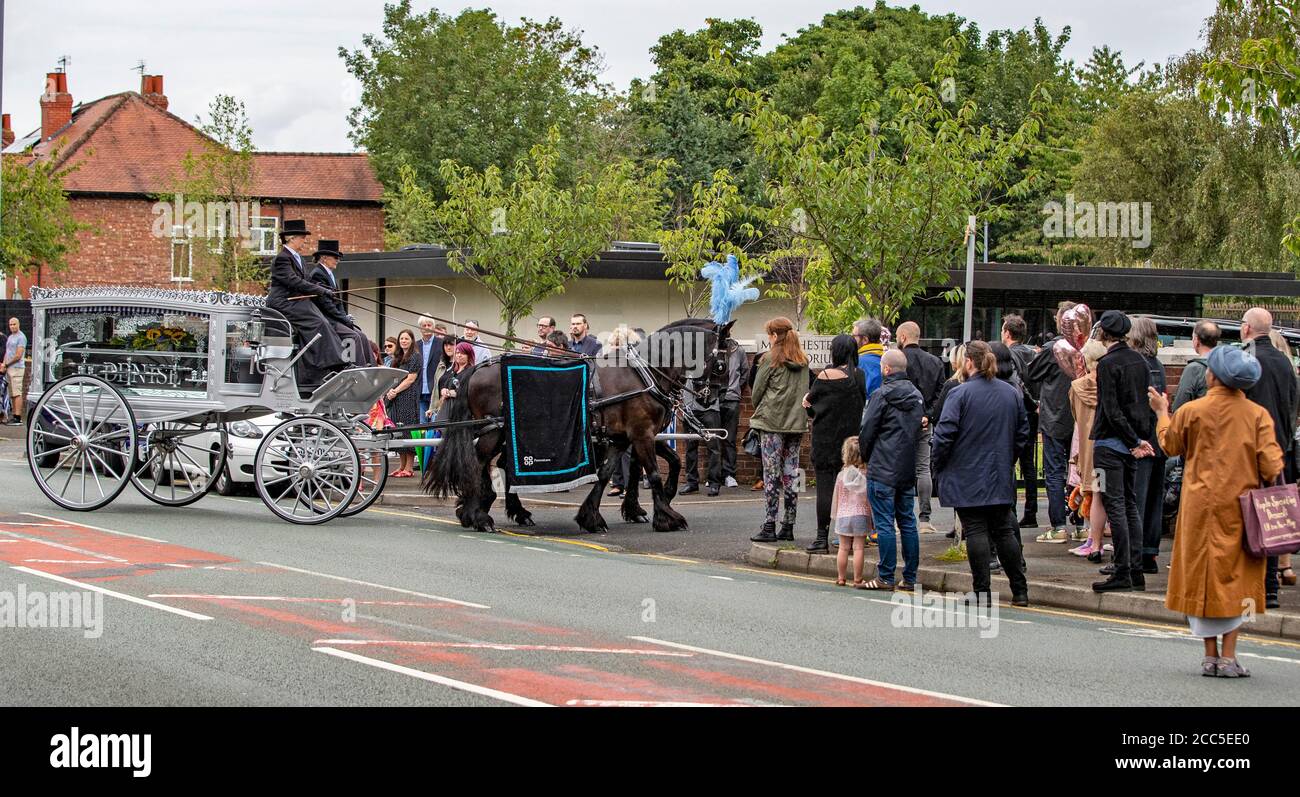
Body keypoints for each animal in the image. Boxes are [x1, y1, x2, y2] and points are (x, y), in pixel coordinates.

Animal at [423, 318, 733, 535]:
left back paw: (499, 510)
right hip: (495, 430)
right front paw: (667, 516)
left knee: (497, 464)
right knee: (479, 463)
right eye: (721, 363)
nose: (710, 398)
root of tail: (478, 368)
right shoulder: (641, 433)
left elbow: (613, 473)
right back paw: (477, 514)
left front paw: (593, 516)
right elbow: (654, 473)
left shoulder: (625, 437)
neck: (643, 373)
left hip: (503, 432)